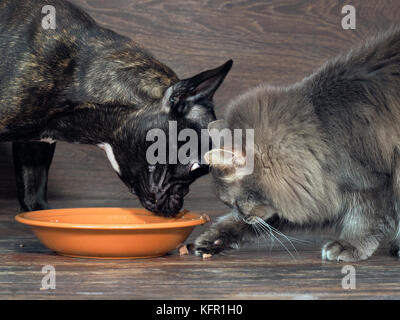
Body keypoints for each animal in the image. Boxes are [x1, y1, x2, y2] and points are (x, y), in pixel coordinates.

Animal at [195, 27, 400, 262]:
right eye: (230, 205)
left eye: (236, 203)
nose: (244, 217)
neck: (320, 127)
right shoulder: (317, 191)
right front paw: (215, 238)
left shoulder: (372, 182)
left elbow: (366, 219)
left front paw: (349, 245)